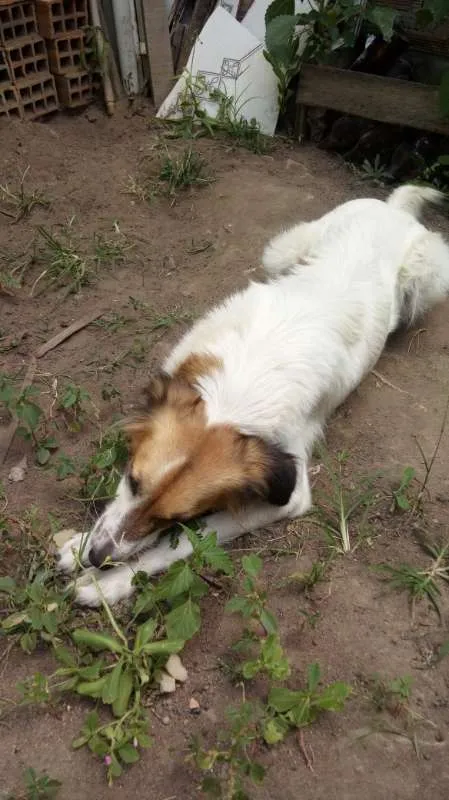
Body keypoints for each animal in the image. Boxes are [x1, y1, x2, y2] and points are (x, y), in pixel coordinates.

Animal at [57, 183, 448, 608]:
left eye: (176, 519)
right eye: (132, 479)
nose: (97, 556)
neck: (240, 391)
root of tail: (394, 210)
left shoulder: (288, 493)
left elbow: (180, 547)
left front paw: (106, 583)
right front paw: (79, 547)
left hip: (426, 277)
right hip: (282, 249)